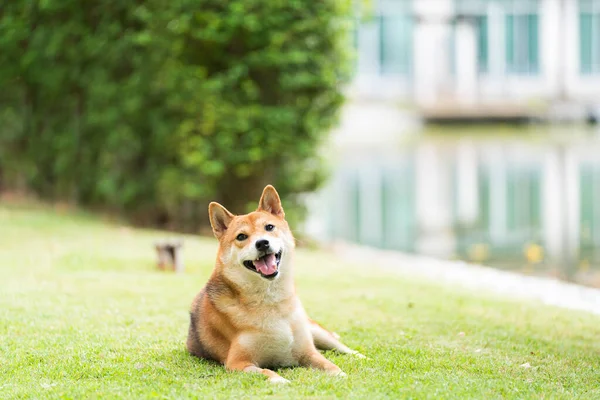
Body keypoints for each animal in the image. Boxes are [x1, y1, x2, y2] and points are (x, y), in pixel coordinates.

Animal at [188, 186, 364, 382]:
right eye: (241, 237)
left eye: (269, 227)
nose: (262, 243)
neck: (271, 300)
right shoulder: (237, 362)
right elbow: (266, 372)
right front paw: (282, 381)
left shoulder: (309, 353)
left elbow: (331, 366)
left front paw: (342, 375)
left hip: (316, 331)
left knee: (341, 347)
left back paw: (362, 356)